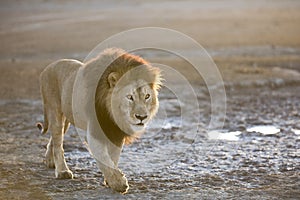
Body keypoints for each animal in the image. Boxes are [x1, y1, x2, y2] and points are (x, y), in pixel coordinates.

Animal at [36, 47, 163, 193]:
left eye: (147, 96)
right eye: (130, 97)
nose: (142, 117)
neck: (112, 113)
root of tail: (47, 68)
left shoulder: (116, 133)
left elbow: (113, 157)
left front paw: (110, 180)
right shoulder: (94, 132)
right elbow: (104, 158)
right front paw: (118, 183)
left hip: (67, 117)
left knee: (54, 138)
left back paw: (49, 161)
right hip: (55, 110)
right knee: (58, 143)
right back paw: (62, 171)